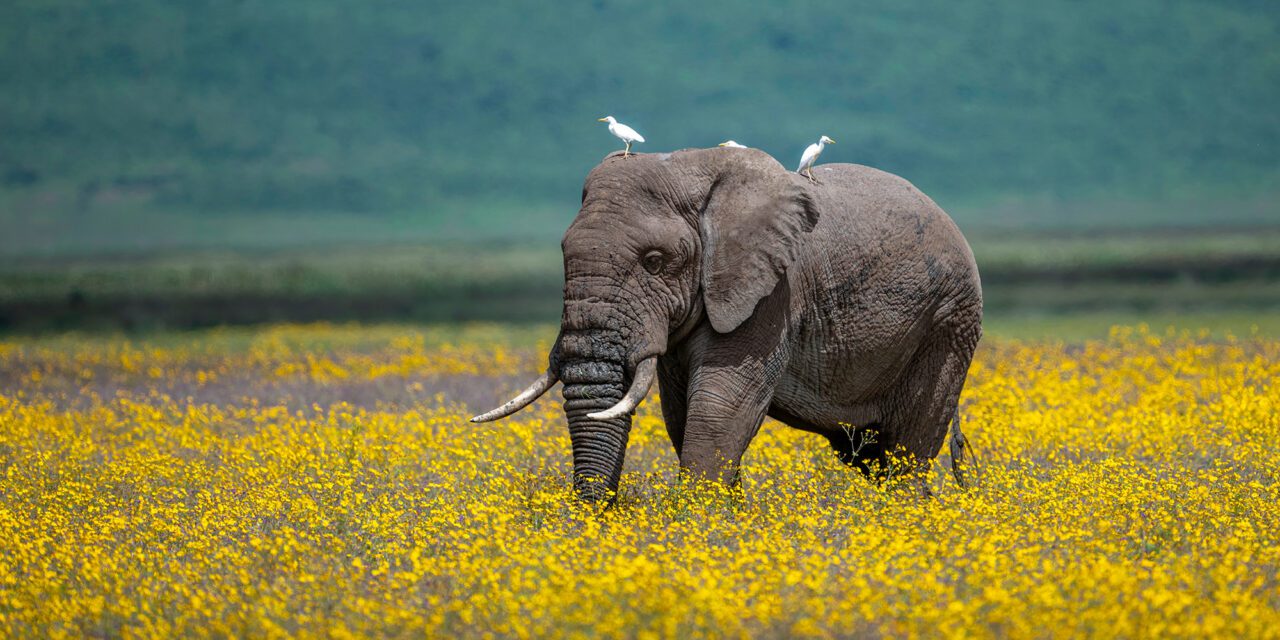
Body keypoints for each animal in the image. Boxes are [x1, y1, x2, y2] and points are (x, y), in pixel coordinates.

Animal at [472, 147, 983, 501]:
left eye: (654, 261)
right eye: (563, 254)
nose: (598, 514)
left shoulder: (772, 293)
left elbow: (721, 406)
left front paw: (701, 524)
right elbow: (681, 412)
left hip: (949, 320)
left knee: (906, 449)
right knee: (868, 451)